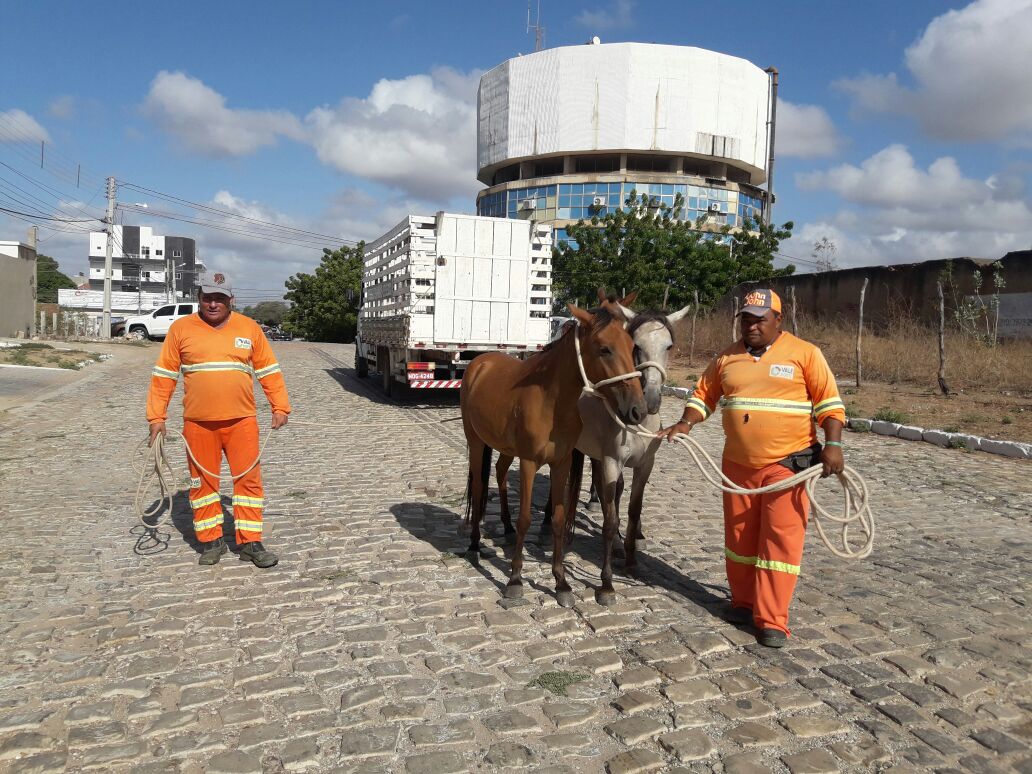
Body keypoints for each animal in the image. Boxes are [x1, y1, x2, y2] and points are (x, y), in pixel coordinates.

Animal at [460, 299, 643, 610]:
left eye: (632, 345)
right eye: (604, 348)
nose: (637, 410)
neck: (551, 401)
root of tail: (479, 362)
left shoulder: (561, 464)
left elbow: (557, 518)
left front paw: (561, 583)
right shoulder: (529, 463)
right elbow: (525, 519)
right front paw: (515, 580)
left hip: (505, 449)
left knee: (499, 474)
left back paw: (505, 528)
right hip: (476, 443)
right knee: (479, 486)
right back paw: (473, 544)